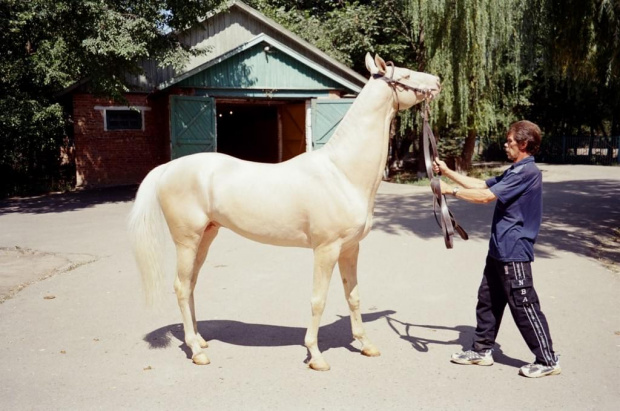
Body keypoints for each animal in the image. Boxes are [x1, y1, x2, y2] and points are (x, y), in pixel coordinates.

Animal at [127, 53, 440, 372]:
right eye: (405, 75)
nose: (438, 82)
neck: (342, 172)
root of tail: (168, 168)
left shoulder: (351, 249)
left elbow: (353, 296)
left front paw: (365, 345)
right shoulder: (326, 250)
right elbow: (318, 299)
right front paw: (315, 355)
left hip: (206, 237)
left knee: (190, 284)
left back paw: (200, 340)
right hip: (186, 240)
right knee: (180, 286)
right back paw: (195, 350)